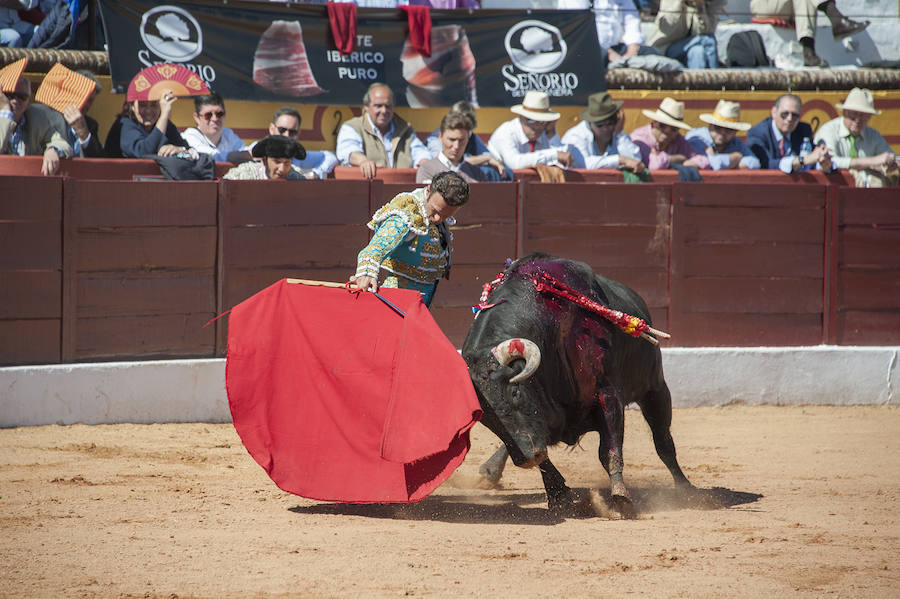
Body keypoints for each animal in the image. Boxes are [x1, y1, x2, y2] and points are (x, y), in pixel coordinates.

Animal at [460, 254, 692, 516]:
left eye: (515, 392)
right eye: (484, 417)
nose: (527, 459)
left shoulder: (607, 394)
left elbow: (609, 450)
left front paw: (621, 498)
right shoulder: (539, 424)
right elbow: (543, 456)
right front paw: (559, 496)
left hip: (655, 389)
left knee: (663, 441)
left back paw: (686, 490)